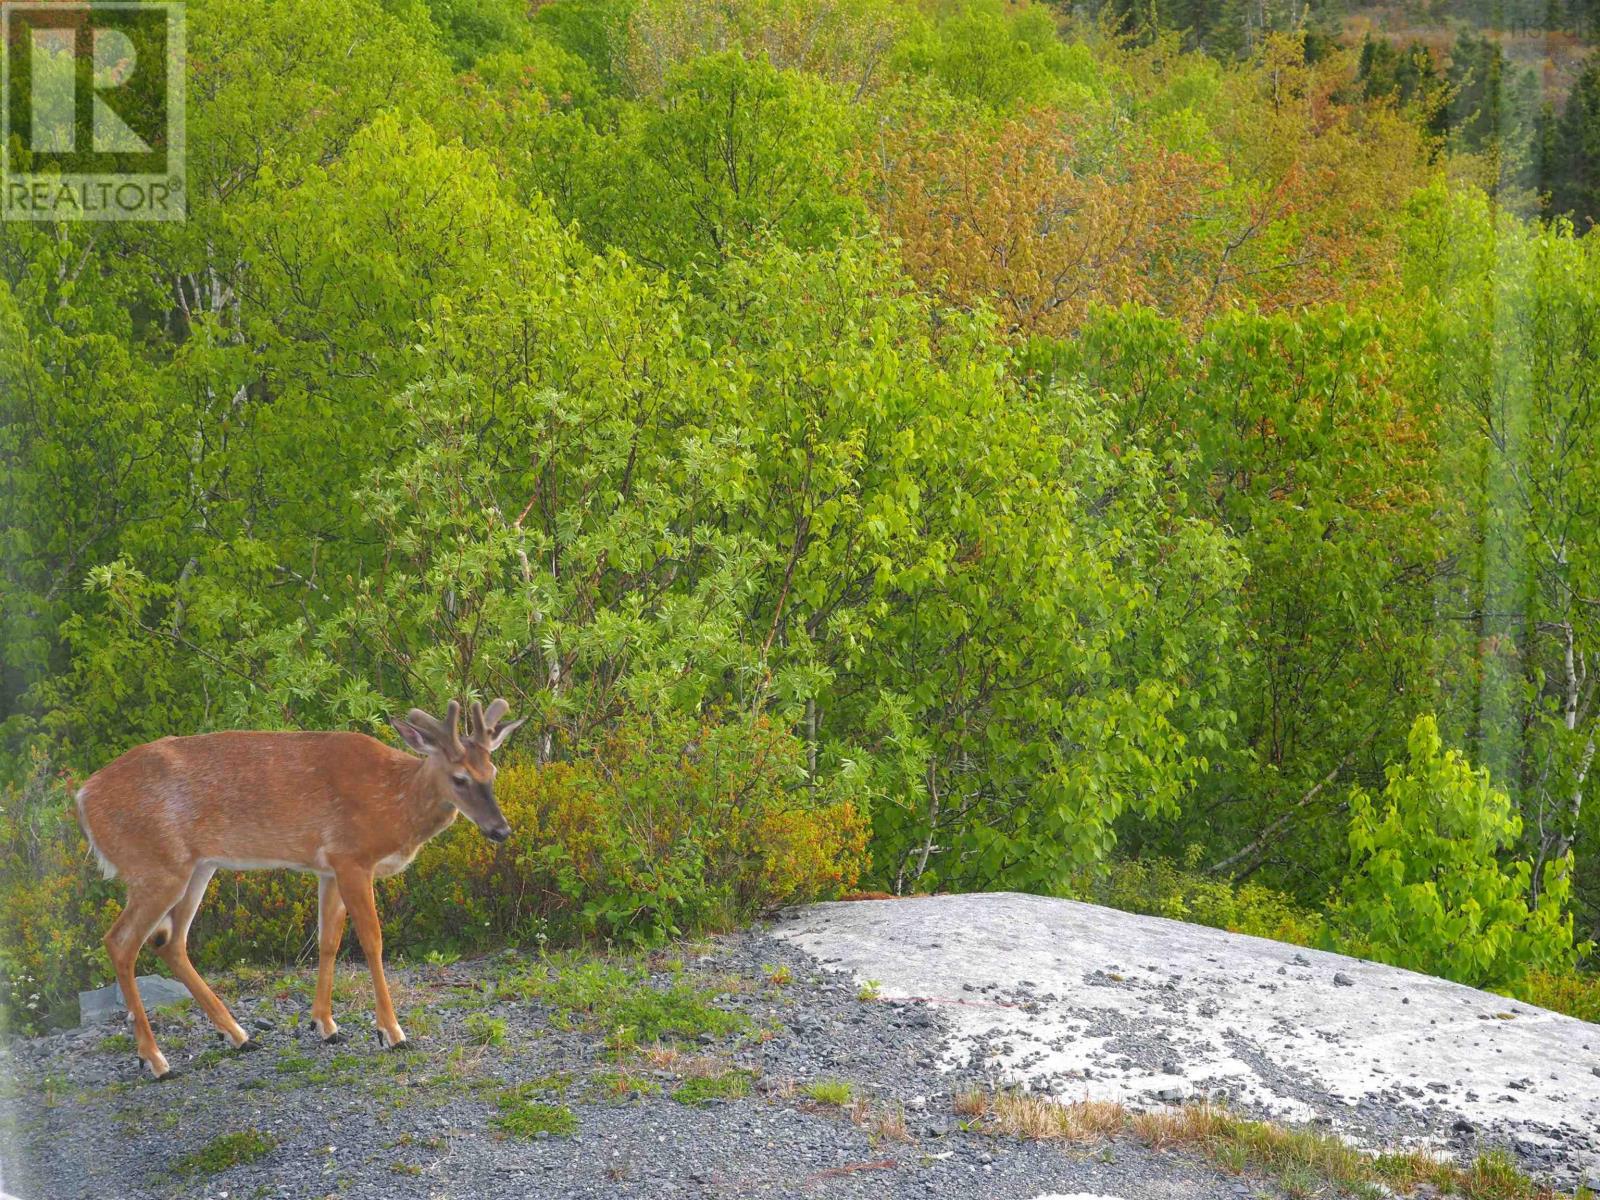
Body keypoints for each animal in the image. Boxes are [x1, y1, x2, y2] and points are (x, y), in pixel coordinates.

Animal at [75, 694, 524, 1081]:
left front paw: (324, 1024)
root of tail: (82, 797)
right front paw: (391, 1032)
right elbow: (372, 940)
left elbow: (328, 939)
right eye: (459, 778)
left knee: (170, 942)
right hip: (155, 866)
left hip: (197, 866)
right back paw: (155, 1060)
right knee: (120, 942)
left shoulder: (329, 868)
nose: (501, 830)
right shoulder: (352, 858)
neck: (394, 805)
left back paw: (237, 1036)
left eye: (493, 772)